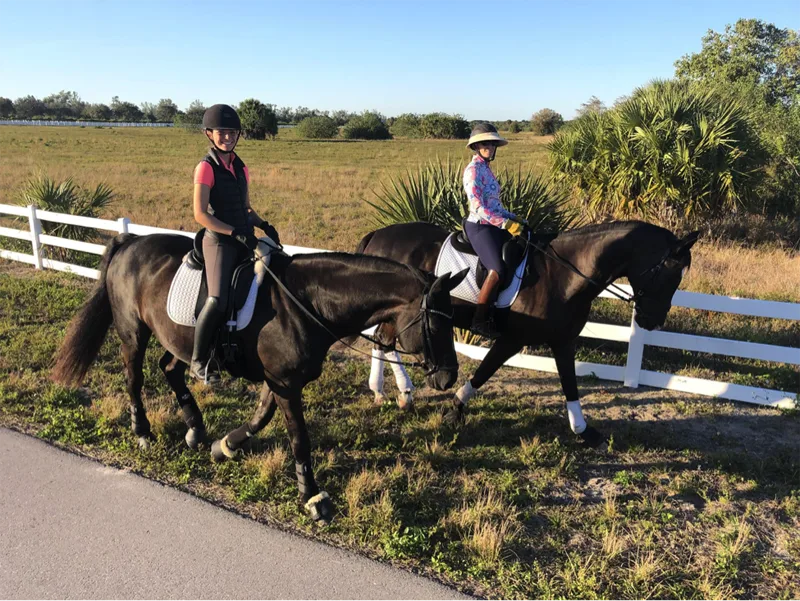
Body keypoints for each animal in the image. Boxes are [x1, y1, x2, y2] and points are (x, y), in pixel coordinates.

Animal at [360, 220, 696, 446]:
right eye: (669, 273)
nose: (653, 322)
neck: (562, 275)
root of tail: (378, 234)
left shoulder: (563, 340)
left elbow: (570, 383)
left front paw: (583, 430)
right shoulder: (512, 339)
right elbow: (483, 372)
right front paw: (456, 409)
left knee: (383, 342)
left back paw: (390, 393)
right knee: (386, 342)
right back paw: (399, 392)